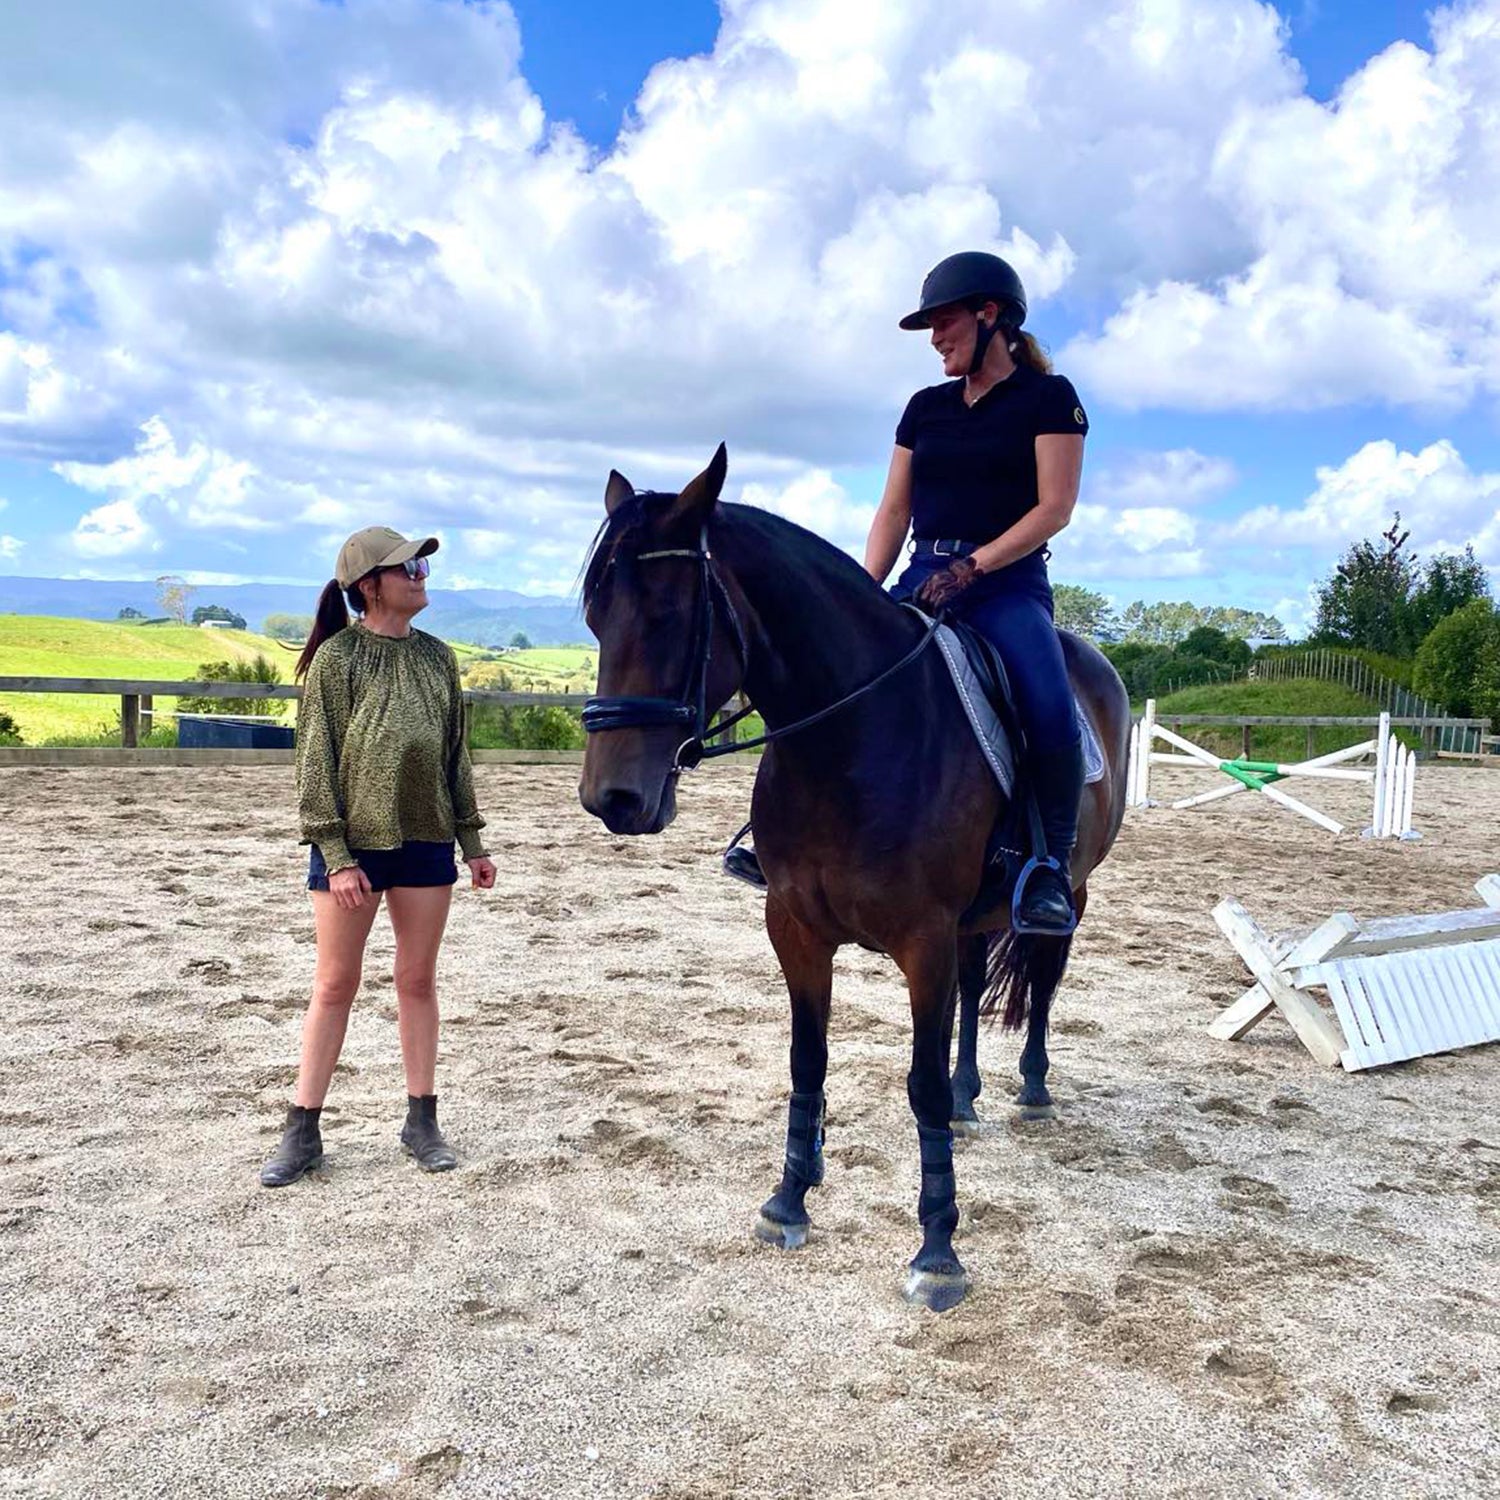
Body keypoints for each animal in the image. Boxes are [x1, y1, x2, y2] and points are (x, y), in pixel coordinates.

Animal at [573, 447, 1128, 1314]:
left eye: (668, 615)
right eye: (597, 619)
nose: (613, 800)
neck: (852, 738)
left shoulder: (924, 941)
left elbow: (919, 1083)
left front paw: (938, 1250)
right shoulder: (795, 926)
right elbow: (808, 1061)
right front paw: (788, 1200)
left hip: (1069, 892)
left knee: (1042, 981)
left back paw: (1031, 1088)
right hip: (974, 919)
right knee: (980, 986)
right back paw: (972, 1093)